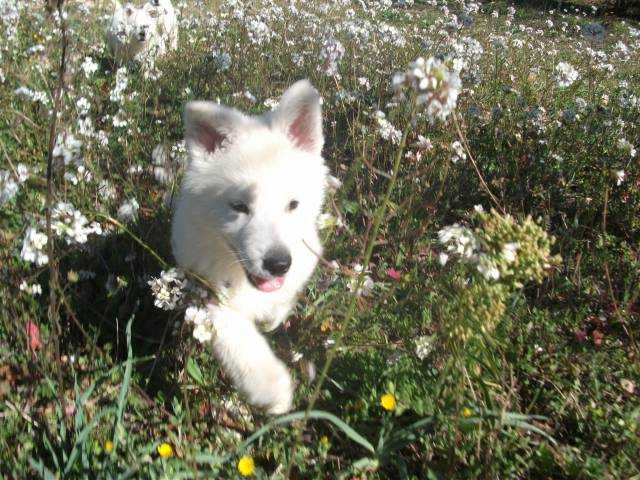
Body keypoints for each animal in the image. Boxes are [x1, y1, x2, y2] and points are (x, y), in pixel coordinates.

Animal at [172, 80, 328, 414]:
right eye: (239, 206)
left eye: (292, 205)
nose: (278, 264)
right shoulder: (207, 291)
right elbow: (237, 337)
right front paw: (271, 387)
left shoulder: (304, 257)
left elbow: (283, 298)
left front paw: (272, 316)